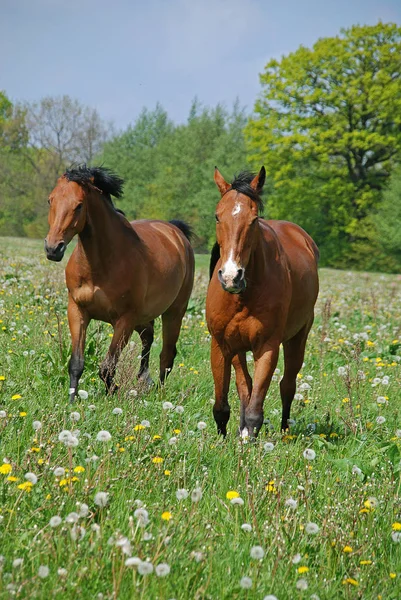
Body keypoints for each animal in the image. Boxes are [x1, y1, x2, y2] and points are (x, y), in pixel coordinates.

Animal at [44, 164, 195, 400]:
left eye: (79, 205)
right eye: (51, 200)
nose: (53, 248)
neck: (99, 266)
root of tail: (176, 232)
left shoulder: (124, 320)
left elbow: (107, 367)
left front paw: (113, 390)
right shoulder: (77, 311)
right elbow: (76, 363)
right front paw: (71, 401)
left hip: (174, 312)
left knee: (167, 354)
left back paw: (159, 393)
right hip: (145, 316)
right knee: (148, 338)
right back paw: (144, 379)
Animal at [205, 166, 318, 438]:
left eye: (254, 219)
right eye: (217, 217)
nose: (231, 276)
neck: (243, 296)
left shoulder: (267, 347)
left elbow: (256, 410)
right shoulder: (221, 345)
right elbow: (223, 405)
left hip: (298, 338)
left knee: (287, 385)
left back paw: (285, 430)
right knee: (244, 385)